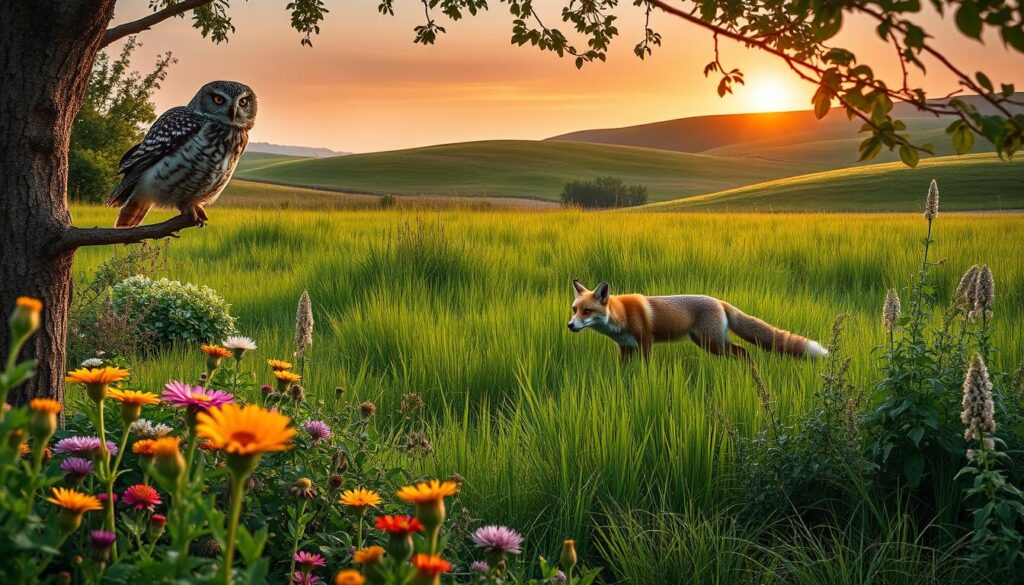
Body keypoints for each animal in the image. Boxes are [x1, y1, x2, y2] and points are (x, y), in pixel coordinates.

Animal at [567, 279, 828, 362]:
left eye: (587, 311)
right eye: (574, 310)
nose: (570, 326)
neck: (621, 315)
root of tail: (719, 301)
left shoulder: (646, 343)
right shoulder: (625, 348)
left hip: (711, 344)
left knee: (743, 352)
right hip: (708, 343)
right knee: (741, 352)